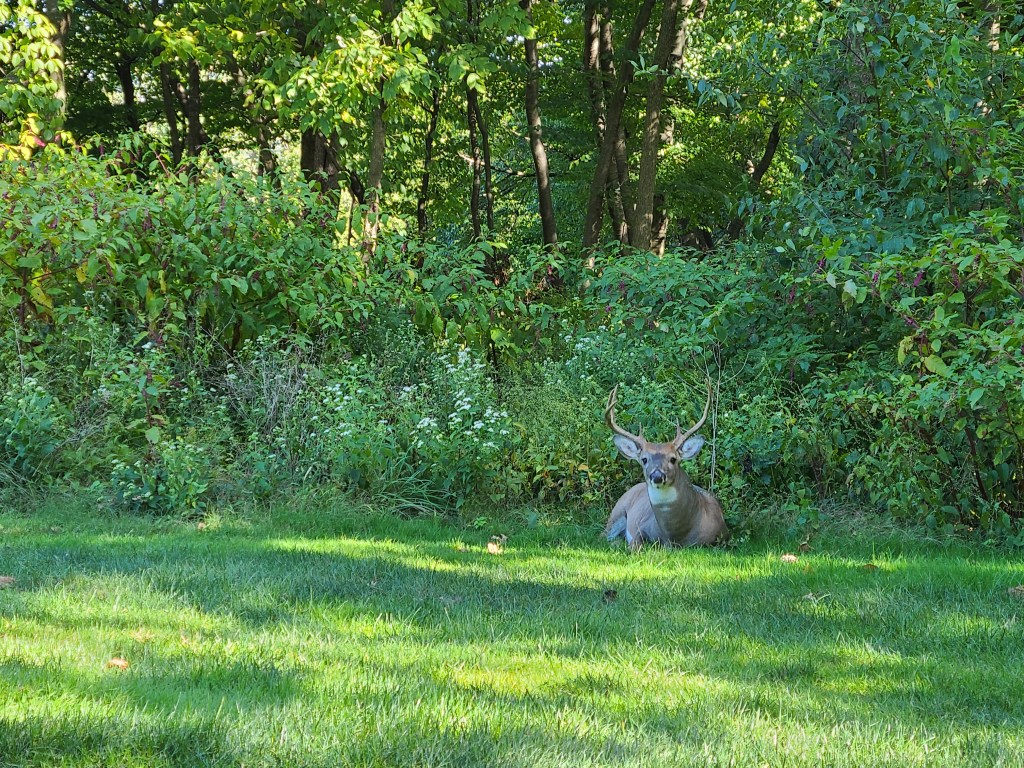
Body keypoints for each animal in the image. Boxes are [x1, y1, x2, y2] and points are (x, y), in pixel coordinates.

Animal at [603, 383, 728, 549]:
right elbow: (635, 546)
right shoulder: (639, 527)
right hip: (616, 512)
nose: (657, 476)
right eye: (644, 459)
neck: (675, 536)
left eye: (673, 459)